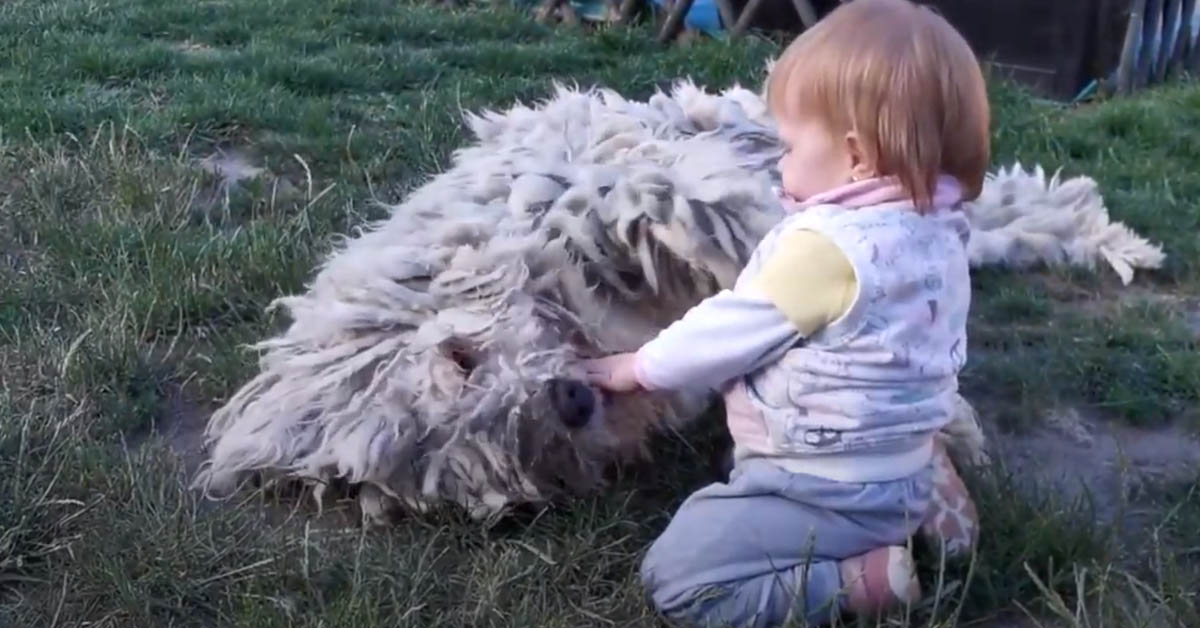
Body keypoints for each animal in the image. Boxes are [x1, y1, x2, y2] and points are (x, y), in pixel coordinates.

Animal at [192, 77, 1166, 521]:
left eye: (459, 359)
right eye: (480, 464)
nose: (568, 400)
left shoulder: (606, 182)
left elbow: (710, 216)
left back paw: (1126, 244)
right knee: (1012, 217)